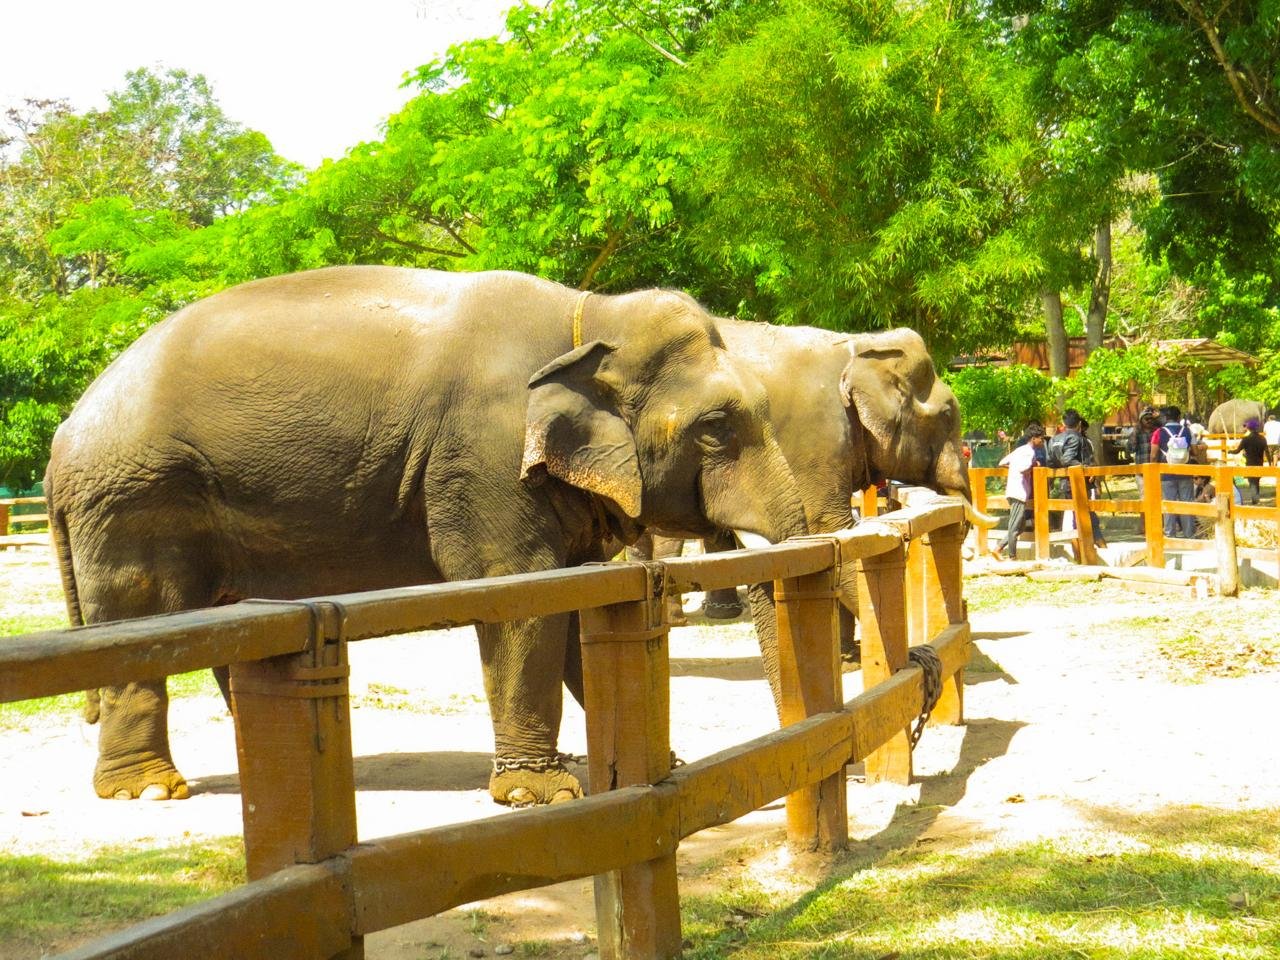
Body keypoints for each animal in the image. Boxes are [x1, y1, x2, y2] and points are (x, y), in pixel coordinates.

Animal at [44, 266, 809, 806]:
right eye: (716, 428)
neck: (590, 314)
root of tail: (65, 433)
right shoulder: (485, 457)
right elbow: (520, 596)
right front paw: (539, 796)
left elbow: (572, 600)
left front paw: (656, 766)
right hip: (134, 500)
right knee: (140, 624)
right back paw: (149, 789)